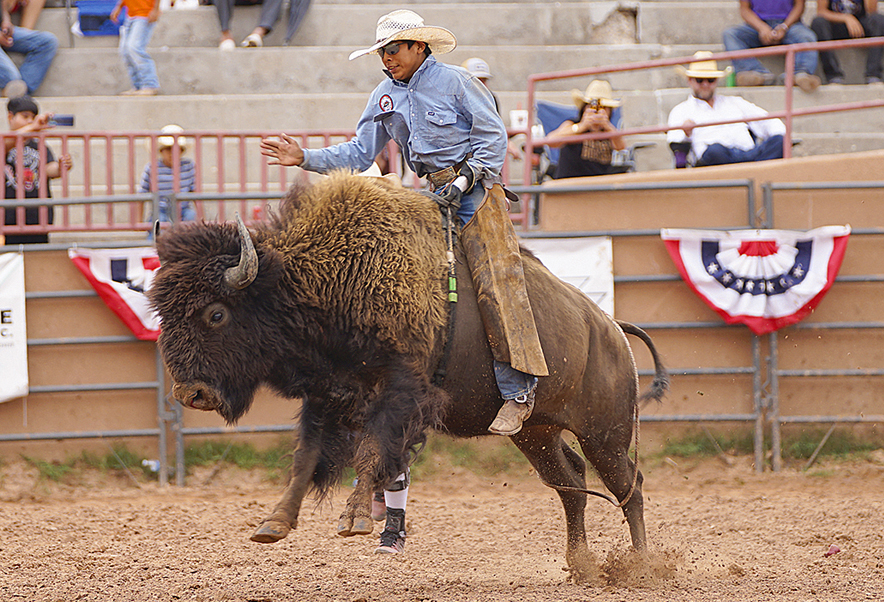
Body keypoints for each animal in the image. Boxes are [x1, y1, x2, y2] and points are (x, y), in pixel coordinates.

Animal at [152, 170, 668, 576]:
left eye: (216, 313)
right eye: (161, 312)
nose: (190, 392)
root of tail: (611, 328)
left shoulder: (400, 392)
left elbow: (370, 452)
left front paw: (354, 520)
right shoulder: (328, 396)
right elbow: (307, 458)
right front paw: (273, 524)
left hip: (605, 434)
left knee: (629, 487)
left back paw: (644, 567)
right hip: (535, 433)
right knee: (572, 485)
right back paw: (581, 567)